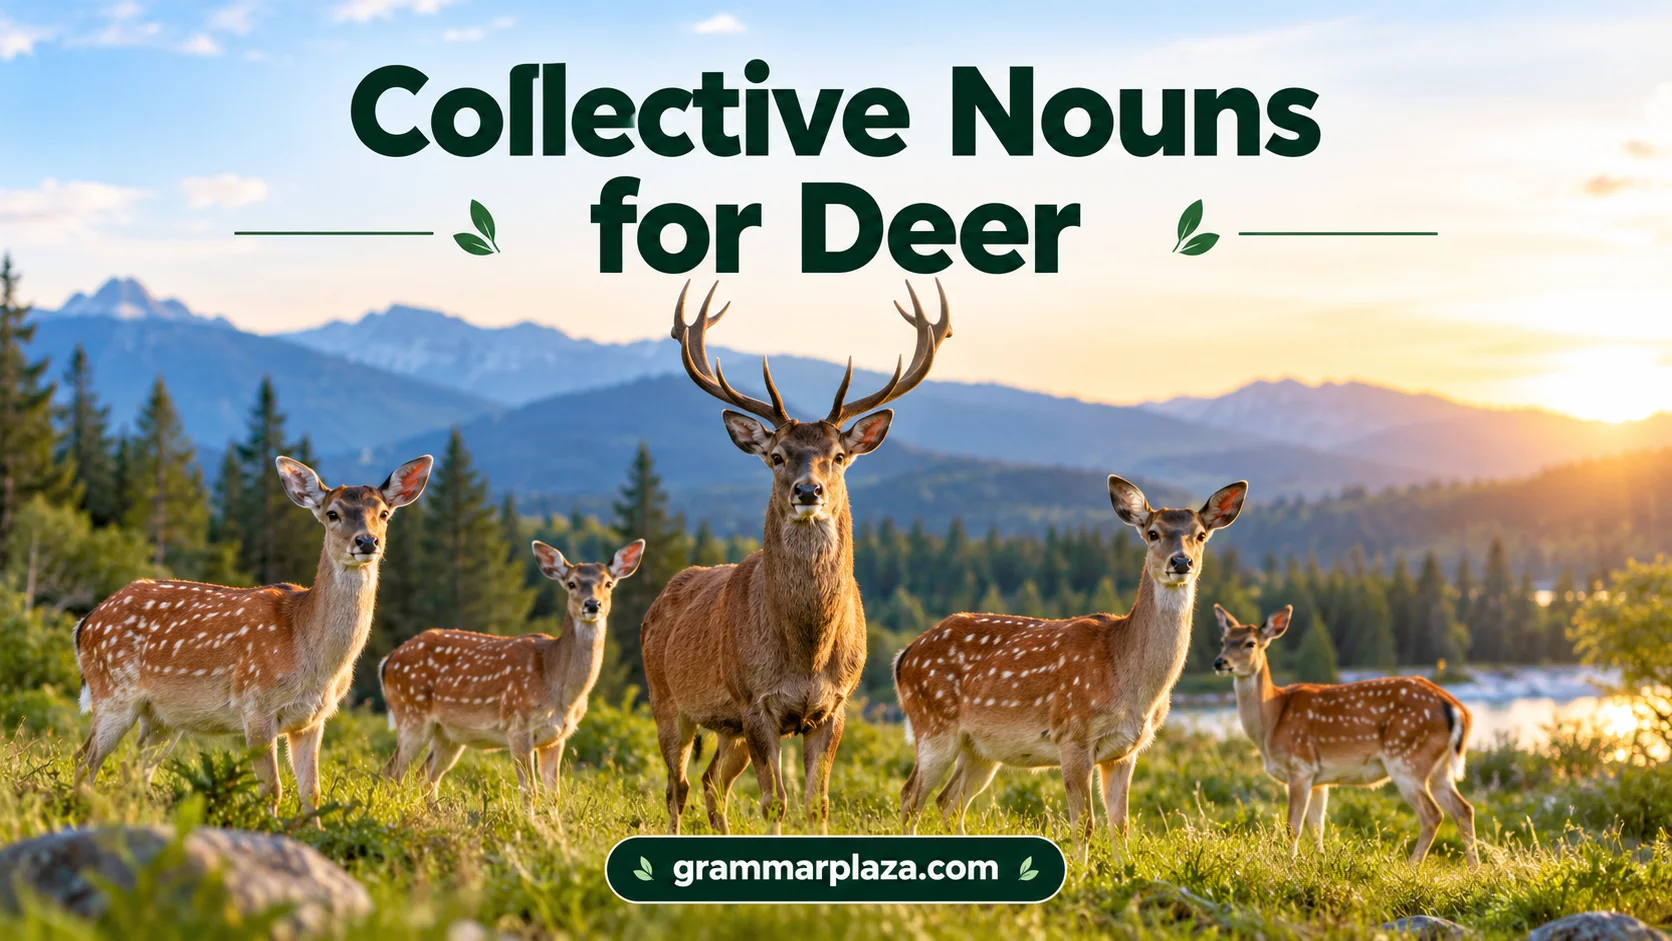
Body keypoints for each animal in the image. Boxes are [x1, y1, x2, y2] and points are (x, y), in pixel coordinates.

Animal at [72, 454, 433, 818]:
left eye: (383, 513)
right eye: (333, 513)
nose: (366, 541)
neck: (309, 651)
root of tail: (85, 623)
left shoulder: (313, 720)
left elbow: (311, 792)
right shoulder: (255, 704)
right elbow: (271, 789)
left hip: (163, 718)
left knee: (133, 767)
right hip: (114, 692)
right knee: (84, 758)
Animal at [379, 539, 644, 804]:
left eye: (608, 584)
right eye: (572, 583)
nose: (592, 604)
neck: (558, 687)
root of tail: (388, 661)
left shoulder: (557, 738)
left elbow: (554, 794)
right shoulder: (517, 725)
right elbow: (530, 791)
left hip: (449, 733)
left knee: (426, 776)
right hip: (411, 713)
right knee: (393, 771)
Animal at [641, 279, 951, 835]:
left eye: (839, 456)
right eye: (777, 456)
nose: (809, 491)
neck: (805, 652)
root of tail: (661, 598)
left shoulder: (834, 705)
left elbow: (816, 801)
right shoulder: (754, 701)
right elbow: (774, 802)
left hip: (727, 727)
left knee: (711, 782)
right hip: (666, 697)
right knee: (677, 786)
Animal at [893, 476, 1247, 859]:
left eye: (1200, 534)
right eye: (1153, 533)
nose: (1181, 562)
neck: (1129, 681)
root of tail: (904, 656)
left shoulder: (1125, 751)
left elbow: (1120, 826)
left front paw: (1122, 868)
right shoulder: (1072, 734)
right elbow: (1085, 824)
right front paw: (1082, 869)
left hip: (980, 748)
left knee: (949, 800)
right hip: (934, 724)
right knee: (911, 796)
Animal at [1212, 605, 1479, 866]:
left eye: (1250, 643)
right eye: (1223, 640)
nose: (1219, 662)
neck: (1272, 720)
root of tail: (1458, 709)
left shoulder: (1299, 765)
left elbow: (1293, 826)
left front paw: (1289, 863)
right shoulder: (1319, 779)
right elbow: (1317, 826)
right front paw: (1320, 859)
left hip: (1407, 757)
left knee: (1433, 814)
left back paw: (1412, 866)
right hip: (1439, 768)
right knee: (1463, 809)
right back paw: (1473, 869)